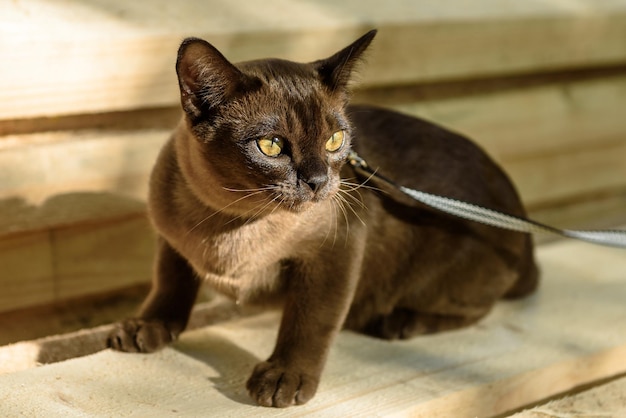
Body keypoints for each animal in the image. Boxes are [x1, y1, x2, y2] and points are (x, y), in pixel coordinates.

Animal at [107, 30, 536, 408]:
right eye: (271, 146)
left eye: (334, 140)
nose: (317, 181)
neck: (231, 221)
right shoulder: (171, 241)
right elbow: (169, 284)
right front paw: (147, 327)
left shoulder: (336, 250)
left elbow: (309, 321)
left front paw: (285, 377)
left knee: (480, 306)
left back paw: (397, 321)